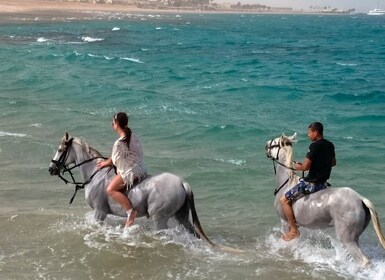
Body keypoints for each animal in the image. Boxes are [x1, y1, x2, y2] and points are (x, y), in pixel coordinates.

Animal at [48, 132, 214, 246]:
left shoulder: (99, 212)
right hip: (181, 217)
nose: (51, 169)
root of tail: (182, 183)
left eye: (60, 149)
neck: (96, 175)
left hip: (160, 218)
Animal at [266, 133, 384, 266]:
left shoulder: (285, 222)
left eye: (274, 143)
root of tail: (360, 198)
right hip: (355, 237)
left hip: (347, 238)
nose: (265, 145)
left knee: (364, 260)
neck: (287, 184)